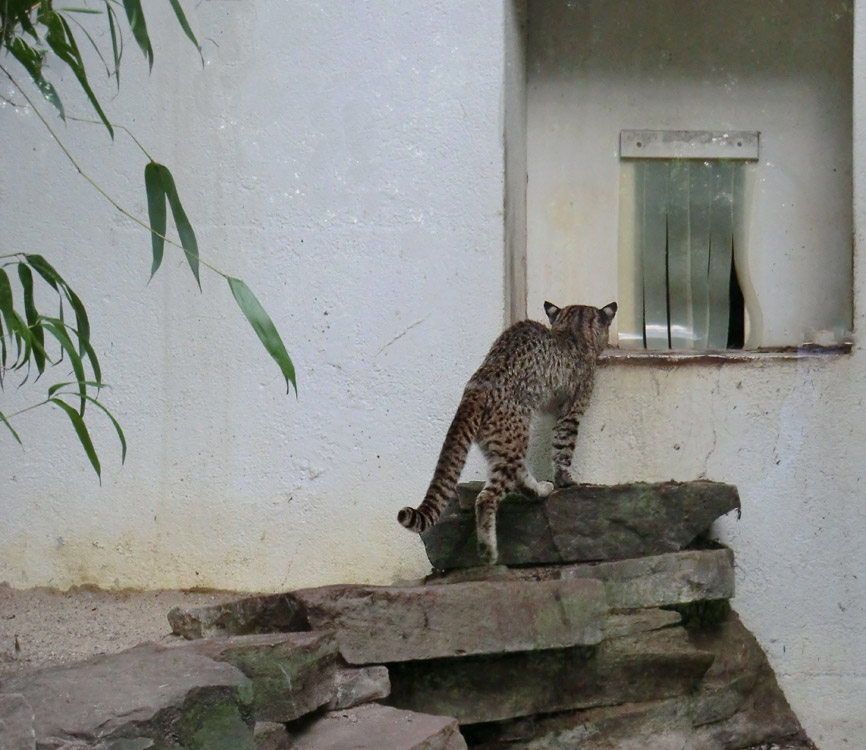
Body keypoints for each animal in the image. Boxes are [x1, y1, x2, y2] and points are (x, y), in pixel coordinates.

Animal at [398, 300, 616, 564]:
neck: (573, 330)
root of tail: (478, 384)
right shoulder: (571, 412)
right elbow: (563, 448)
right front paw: (568, 480)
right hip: (513, 437)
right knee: (487, 496)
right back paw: (488, 551)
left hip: (504, 442)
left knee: (517, 475)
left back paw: (540, 490)